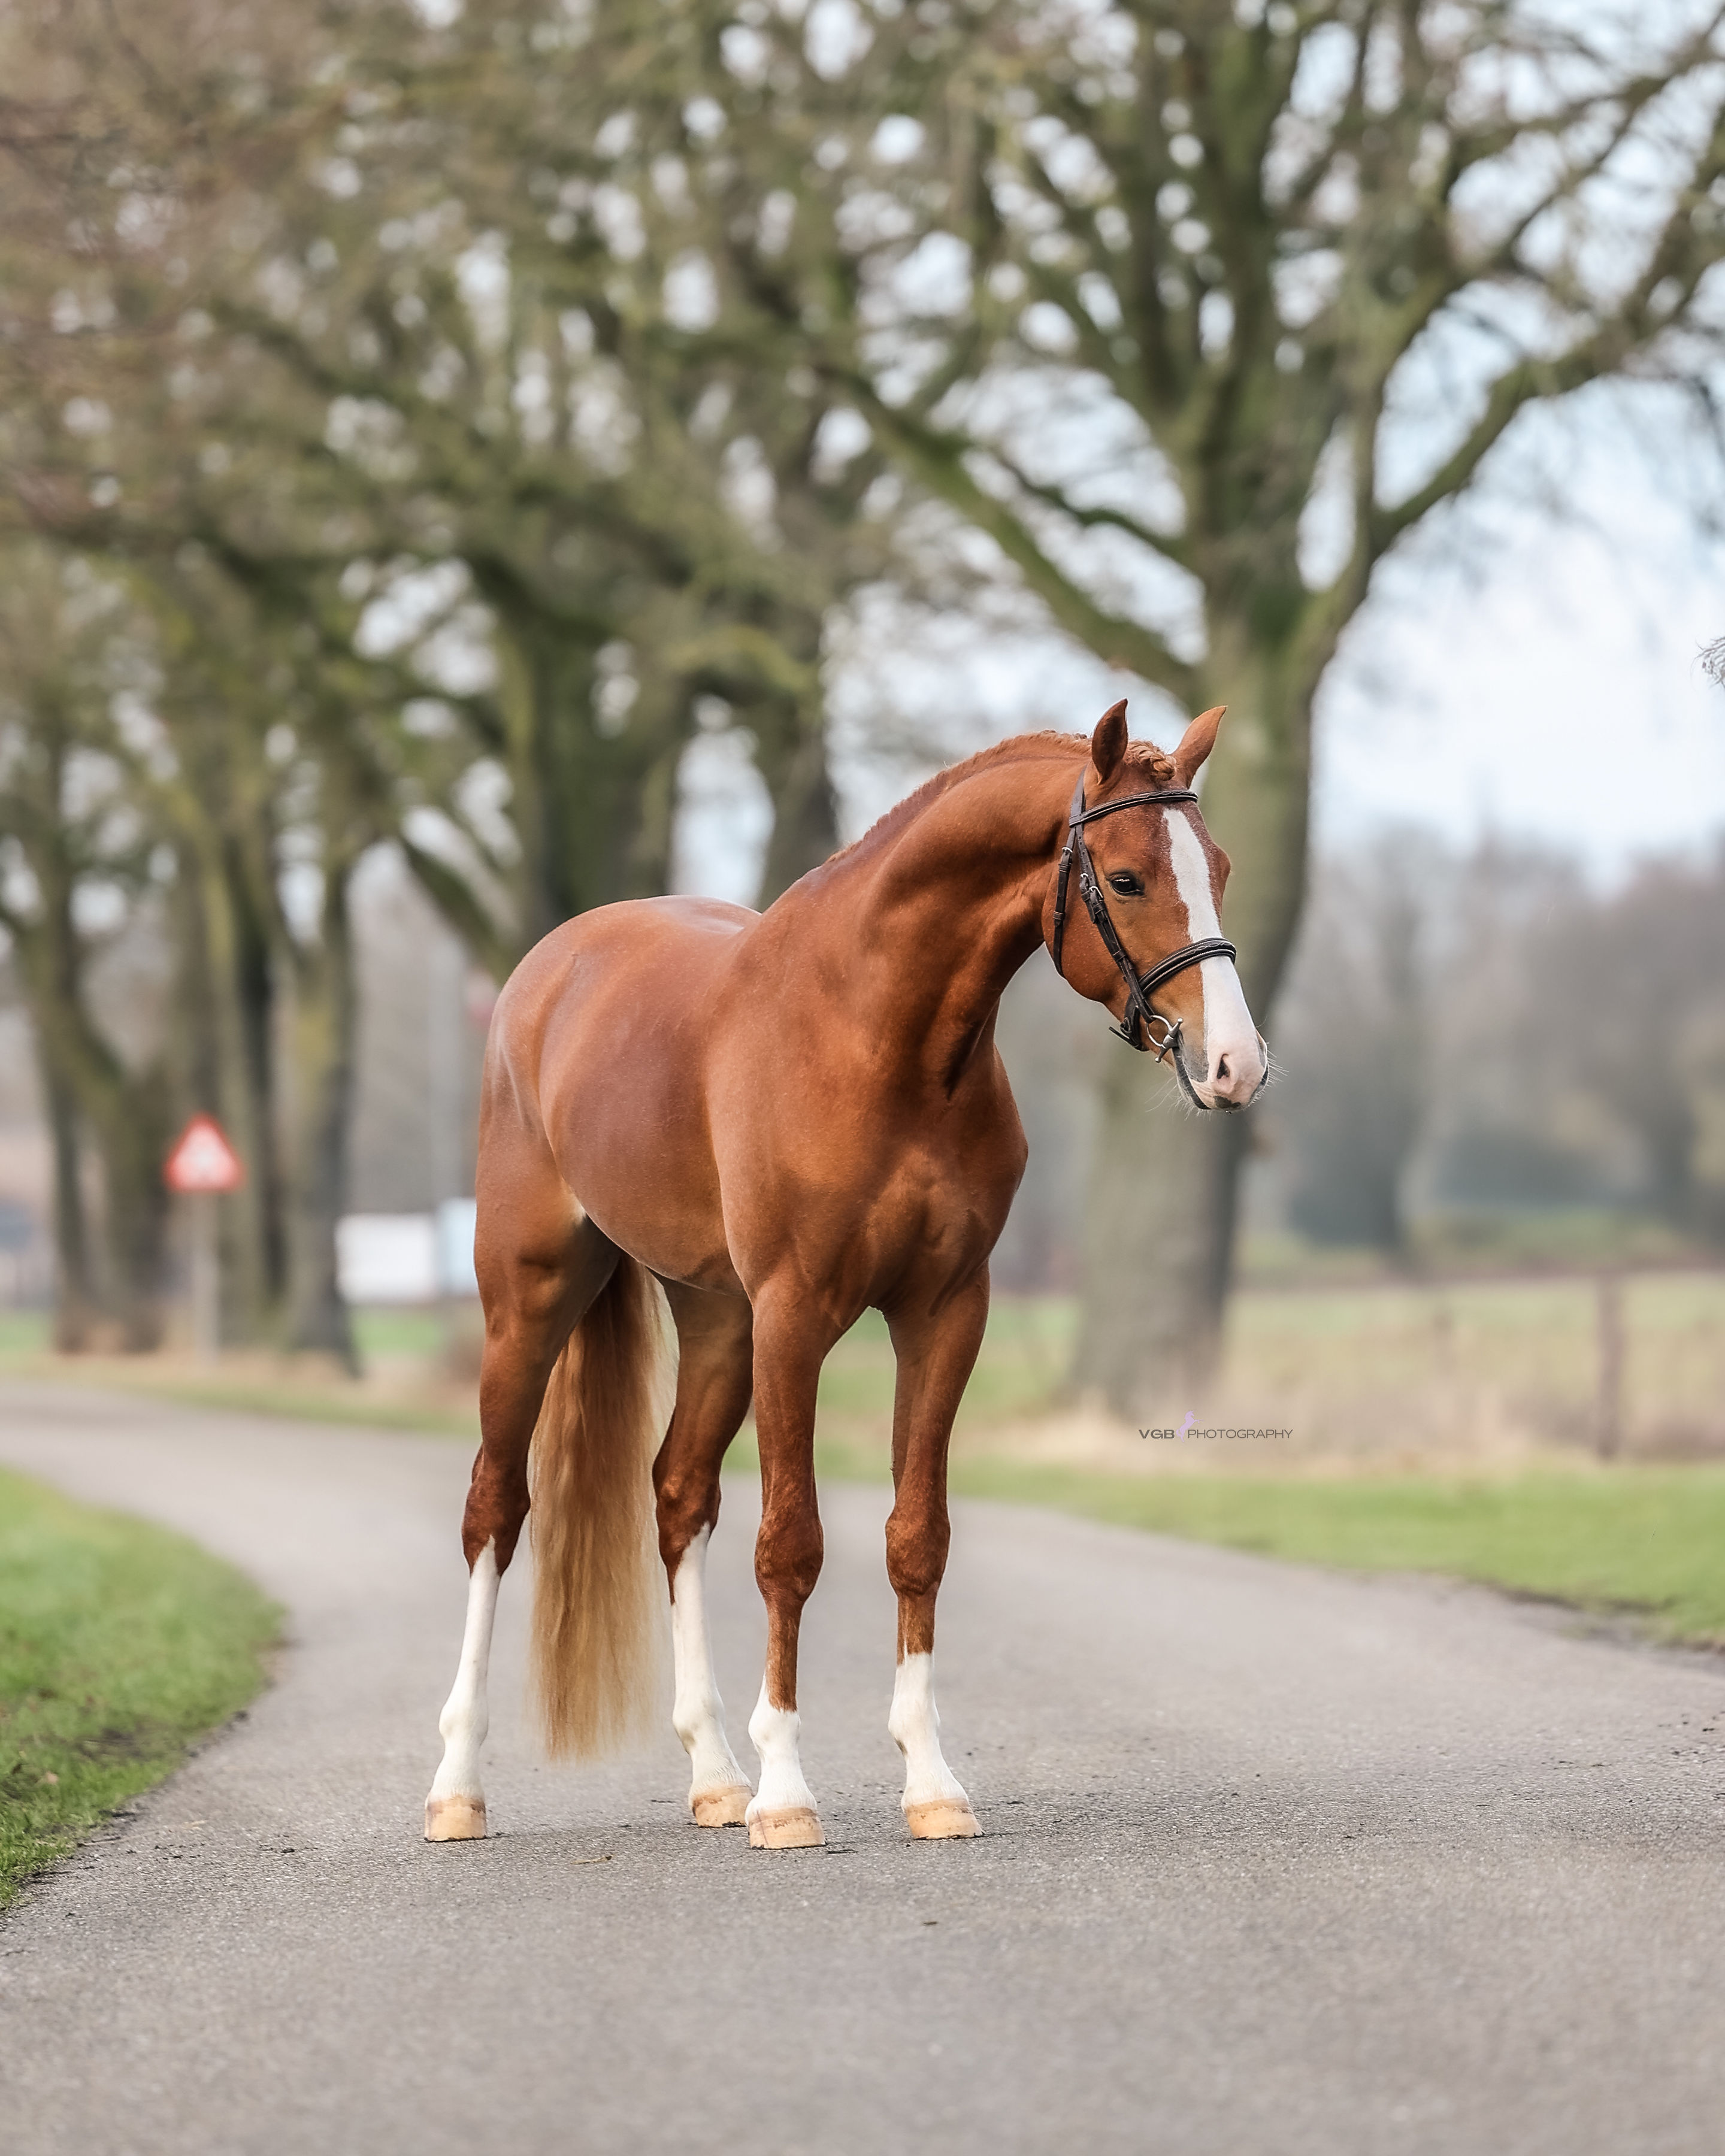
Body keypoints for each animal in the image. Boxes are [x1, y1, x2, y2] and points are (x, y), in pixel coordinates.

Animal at [423, 699, 1267, 1849]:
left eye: (1218, 866)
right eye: (1131, 878)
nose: (1236, 1065)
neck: (876, 1039)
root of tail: (549, 969)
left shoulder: (943, 1313)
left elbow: (917, 1538)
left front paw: (931, 1784)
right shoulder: (795, 1318)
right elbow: (792, 1544)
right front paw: (789, 1795)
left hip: (717, 1323)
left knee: (678, 1498)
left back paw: (714, 1775)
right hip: (533, 1302)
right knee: (495, 1511)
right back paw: (459, 1785)